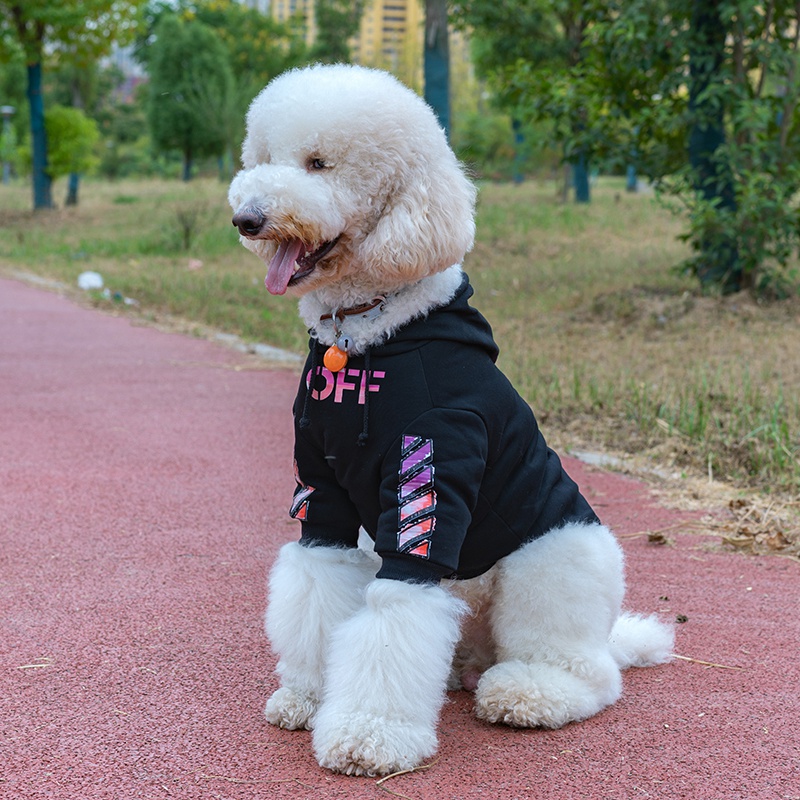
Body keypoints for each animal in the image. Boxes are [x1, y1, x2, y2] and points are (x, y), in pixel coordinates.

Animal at [228, 65, 672, 780]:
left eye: (319, 163)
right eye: (262, 158)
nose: (248, 218)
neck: (363, 335)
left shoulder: (427, 490)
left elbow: (394, 623)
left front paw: (369, 735)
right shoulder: (323, 498)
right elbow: (317, 594)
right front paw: (307, 695)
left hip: (552, 564)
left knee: (590, 672)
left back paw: (525, 692)